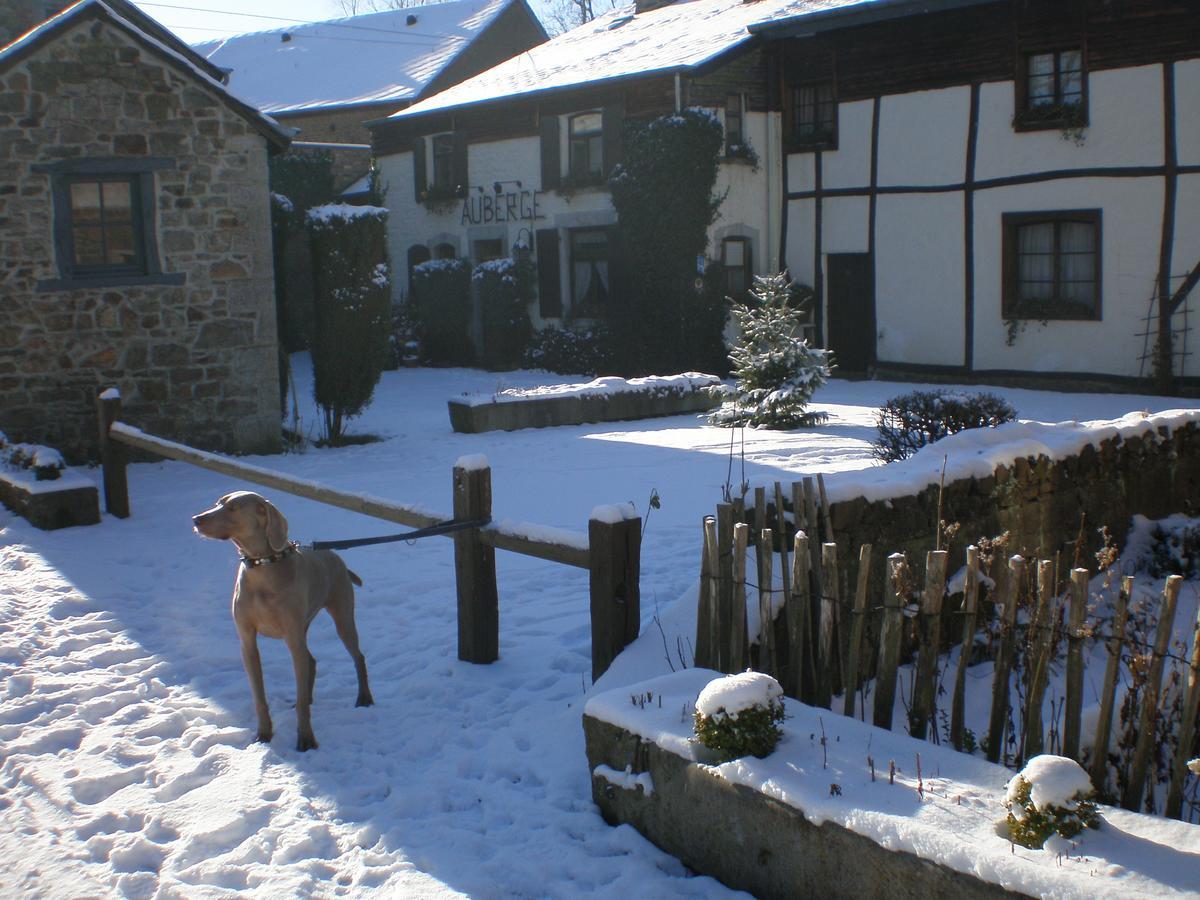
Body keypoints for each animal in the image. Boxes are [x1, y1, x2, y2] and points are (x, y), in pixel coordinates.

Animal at [192, 489, 372, 748]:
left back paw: (364, 697)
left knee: (358, 657)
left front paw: (306, 739)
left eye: (233, 508)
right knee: (311, 661)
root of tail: (334, 555)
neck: (262, 565)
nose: (196, 519)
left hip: (342, 617)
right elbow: (259, 696)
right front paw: (263, 734)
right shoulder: (247, 642)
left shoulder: (292, 638)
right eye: (218, 503)